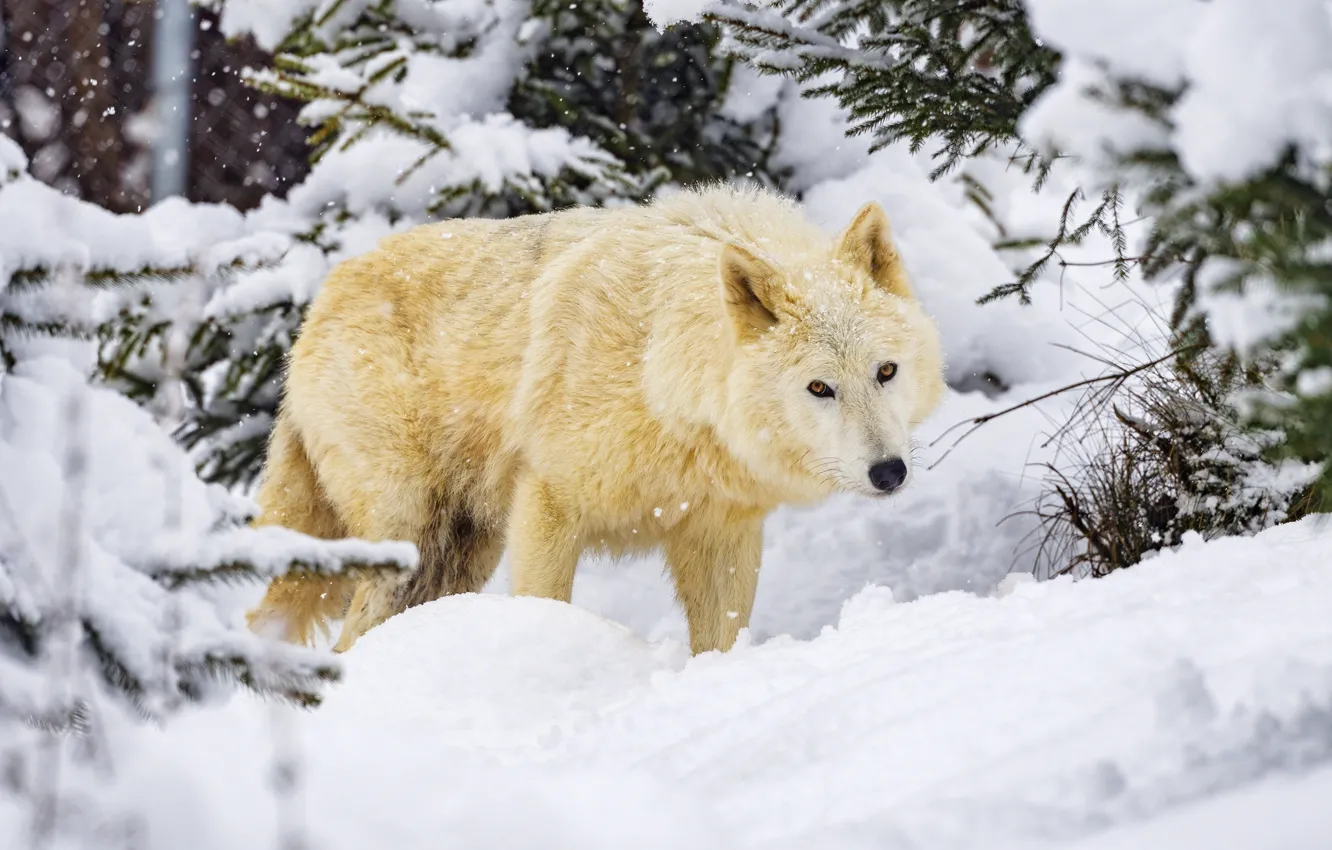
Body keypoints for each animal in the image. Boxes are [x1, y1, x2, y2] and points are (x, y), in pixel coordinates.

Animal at [246, 185, 946, 654]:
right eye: (820, 388)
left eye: (886, 372)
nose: (889, 472)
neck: (658, 370)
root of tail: (317, 307)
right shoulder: (550, 504)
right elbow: (543, 604)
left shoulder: (720, 531)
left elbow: (721, 639)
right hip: (411, 542)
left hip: (460, 554)